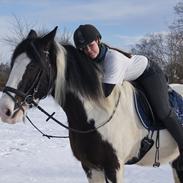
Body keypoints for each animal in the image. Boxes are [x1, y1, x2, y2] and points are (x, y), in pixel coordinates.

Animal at [0, 26, 182, 182]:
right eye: (13, 63)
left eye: (32, 66)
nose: (5, 110)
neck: (97, 114)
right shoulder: (90, 167)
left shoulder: (114, 168)